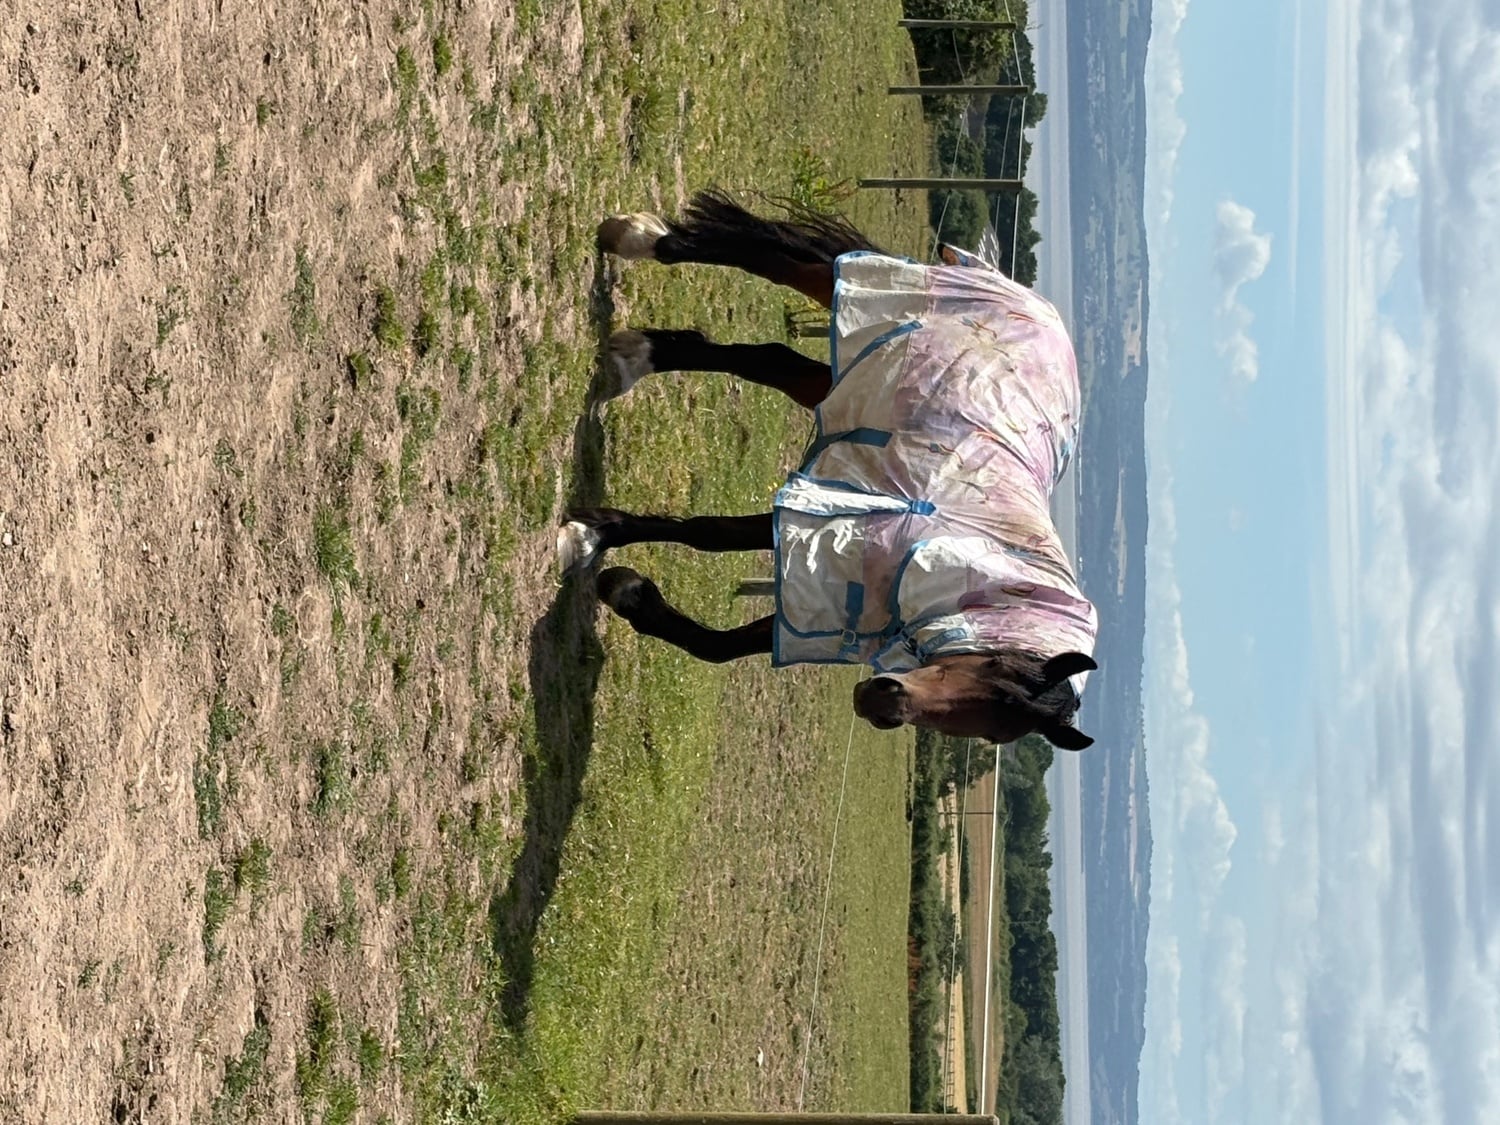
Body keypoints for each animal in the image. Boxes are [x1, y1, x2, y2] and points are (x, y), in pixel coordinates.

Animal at [559, 190, 1099, 750]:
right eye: (991, 665)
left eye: (993, 733)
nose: (884, 703)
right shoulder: (838, 510)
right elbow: (708, 534)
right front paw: (590, 534)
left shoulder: (840, 606)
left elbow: (722, 646)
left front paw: (630, 592)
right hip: (860, 296)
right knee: (770, 261)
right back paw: (639, 240)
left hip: (846, 377)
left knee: (771, 358)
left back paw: (640, 351)